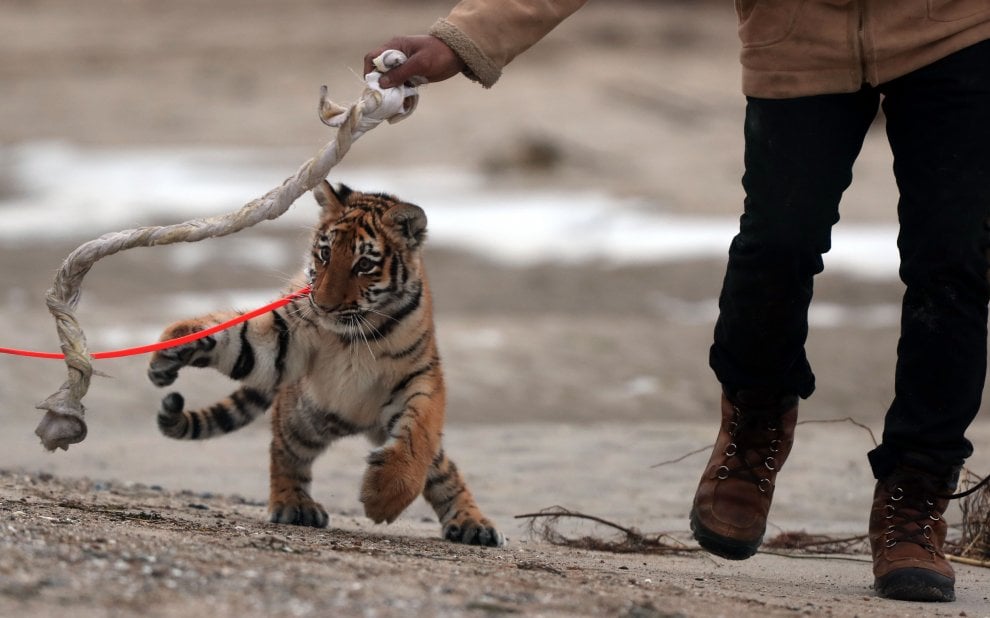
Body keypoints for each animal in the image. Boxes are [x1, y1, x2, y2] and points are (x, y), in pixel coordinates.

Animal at [146, 181, 504, 547]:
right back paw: (293, 505)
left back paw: (473, 524)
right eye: (325, 254)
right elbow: (238, 339)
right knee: (283, 450)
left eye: (364, 264)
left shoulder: (421, 375)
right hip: (304, 417)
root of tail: (362, 425)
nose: (324, 304)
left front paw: (382, 500)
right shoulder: (283, 339)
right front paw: (174, 345)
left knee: (443, 469)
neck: (356, 334)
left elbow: (417, 438)